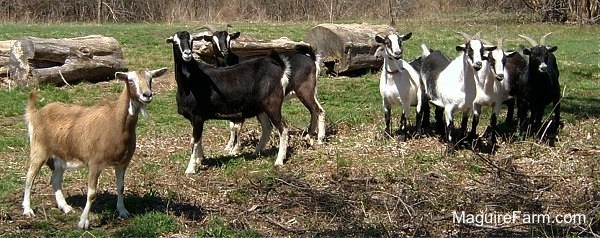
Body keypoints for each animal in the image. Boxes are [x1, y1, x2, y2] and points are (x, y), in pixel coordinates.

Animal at [22, 67, 168, 229]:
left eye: (151, 79)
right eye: (130, 80)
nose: (147, 95)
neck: (115, 122)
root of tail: (36, 113)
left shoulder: (123, 162)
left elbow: (121, 187)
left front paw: (123, 211)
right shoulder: (95, 162)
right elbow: (91, 193)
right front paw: (83, 222)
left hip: (60, 155)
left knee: (55, 179)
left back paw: (65, 207)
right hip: (39, 149)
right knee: (29, 177)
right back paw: (28, 210)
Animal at [166, 31, 292, 173]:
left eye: (192, 40)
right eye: (175, 42)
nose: (187, 53)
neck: (190, 82)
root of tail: (281, 68)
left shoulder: (197, 116)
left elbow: (194, 140)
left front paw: (191, 168)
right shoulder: (196, 118)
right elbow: (198, 139)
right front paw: (200, 159)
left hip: (272, 104)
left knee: (283, 128)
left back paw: (279, 160)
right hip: (260, 108)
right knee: (267, 127)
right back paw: (255, 153)